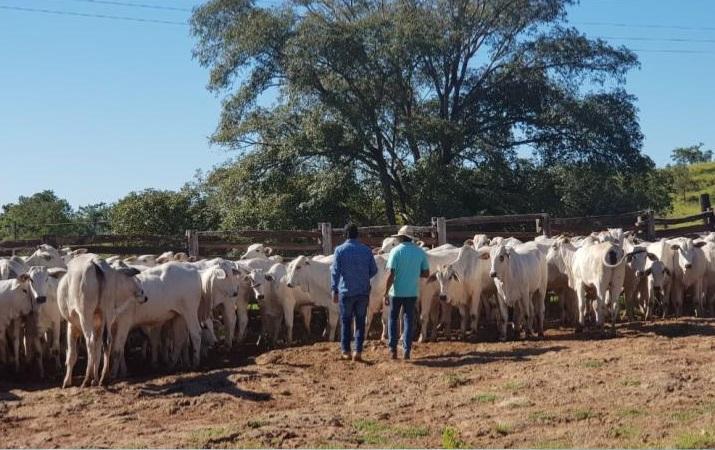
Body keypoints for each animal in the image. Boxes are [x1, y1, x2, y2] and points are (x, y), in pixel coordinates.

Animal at [59, 255, 148, 388]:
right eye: (130, 277)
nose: (144, 294)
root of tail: (96, 262)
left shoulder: (72, 326)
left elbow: (72, 355)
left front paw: (67, 381)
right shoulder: (99, 326)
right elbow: (98, 352)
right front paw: (95, 378)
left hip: (85, 314)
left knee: (90, 341)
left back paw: (87, 379)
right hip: (107, 313)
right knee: (108, 342)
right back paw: (103, 378)